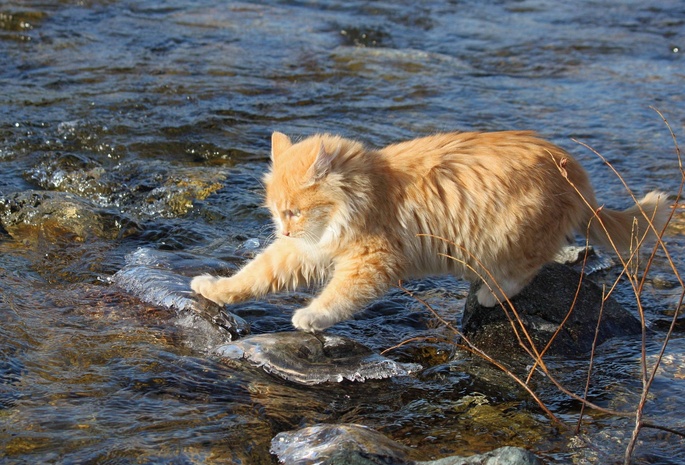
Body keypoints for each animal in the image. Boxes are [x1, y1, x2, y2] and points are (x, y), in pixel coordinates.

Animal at [192, 130, 668, 332]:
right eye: (276, 213)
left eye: (294, 212)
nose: (285, 231)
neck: (370, 190)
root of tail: (579, 178)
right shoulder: (303, 252)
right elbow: (253, 276)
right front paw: (214, 288)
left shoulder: (372, 262)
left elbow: (337, 298)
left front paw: (311, 317)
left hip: (514, 232)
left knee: (525, 269)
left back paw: (489, 293)